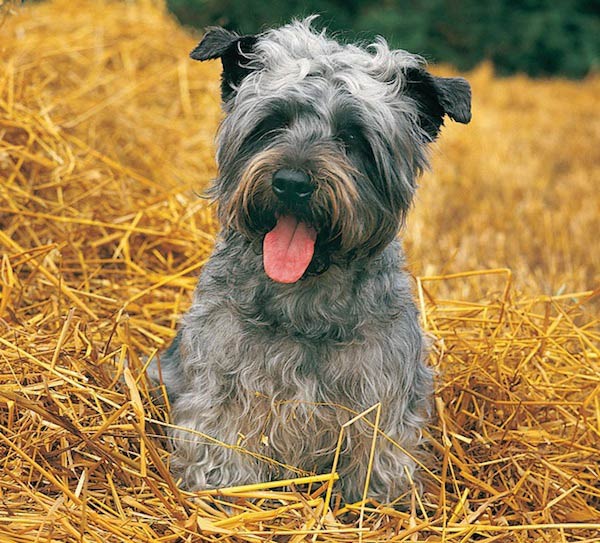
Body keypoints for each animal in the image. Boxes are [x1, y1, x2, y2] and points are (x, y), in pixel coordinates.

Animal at [149, 18, 468, 506]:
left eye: (353, 137)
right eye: (272, 123)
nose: (291, 182)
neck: (304, 301)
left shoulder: (380, 403)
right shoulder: (222, 392)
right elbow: (223, 453)